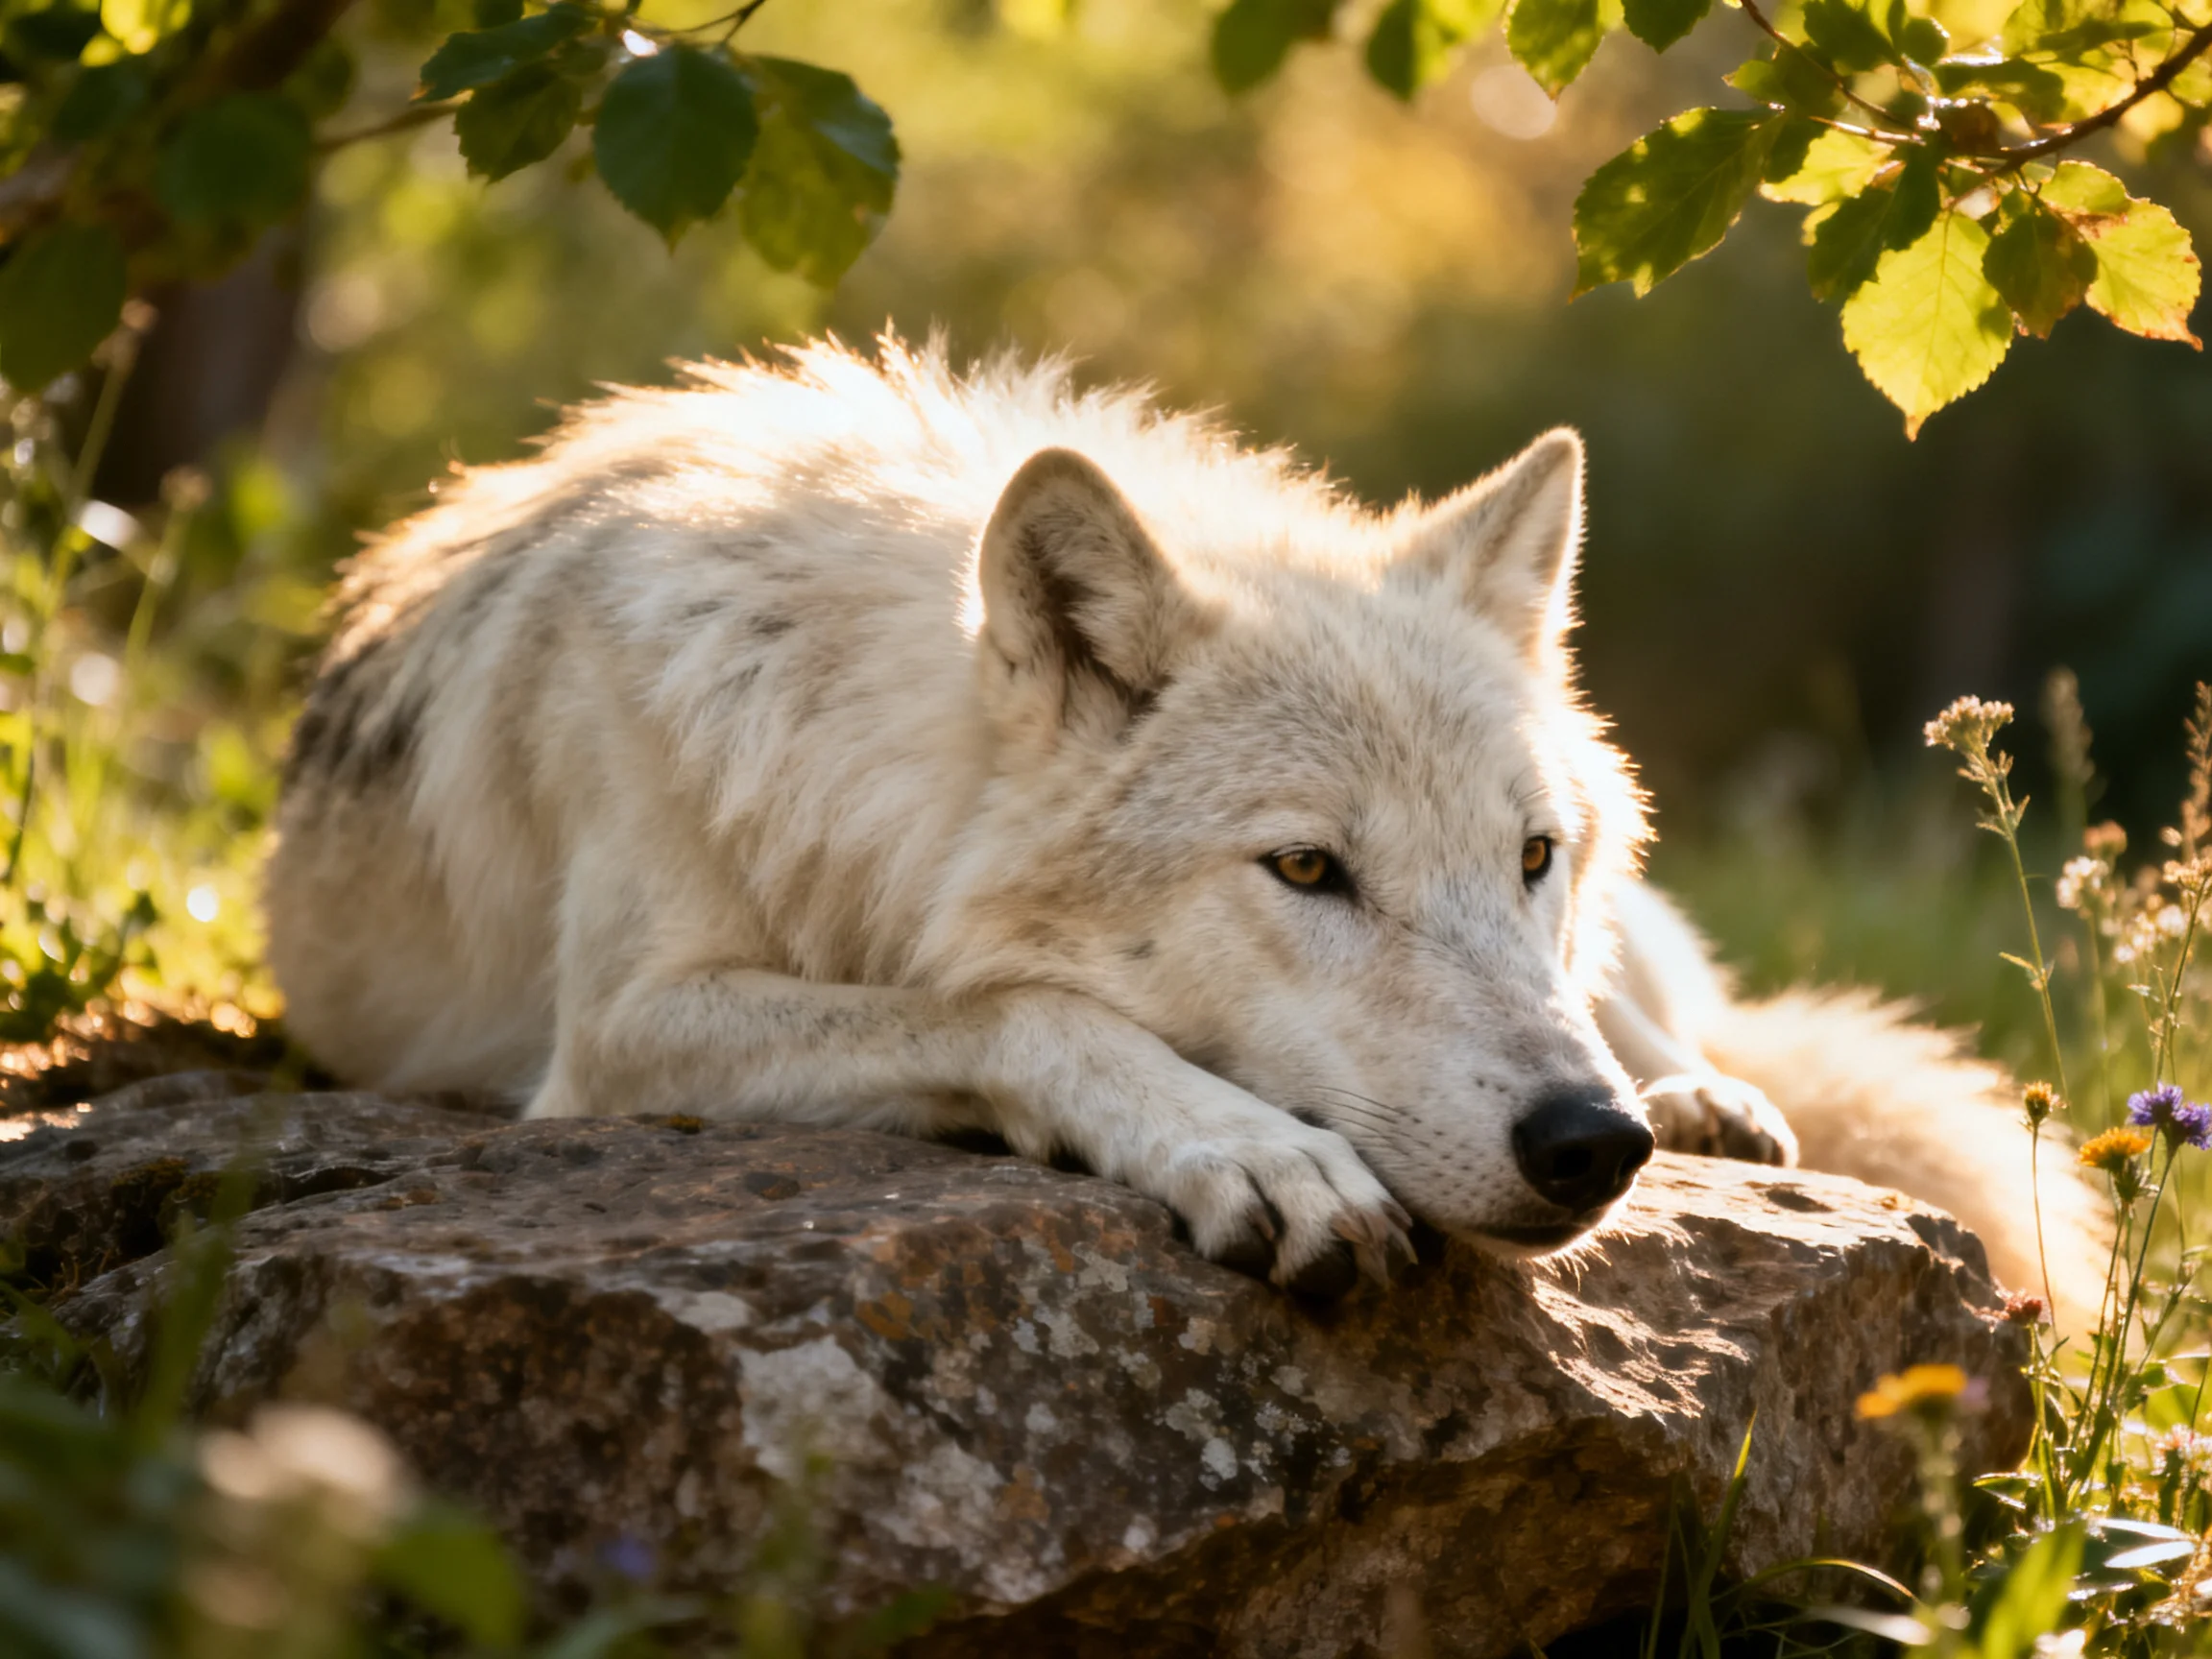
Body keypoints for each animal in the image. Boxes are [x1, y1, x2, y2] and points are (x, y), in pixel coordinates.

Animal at [266, 337, 2103, 1313]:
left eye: (1527, 857)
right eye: (1305, 869)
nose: (1590, 1145)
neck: (855, 724)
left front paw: (1673, 1097)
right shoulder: (621, 1035)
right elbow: (1016, 1005)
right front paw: (1253, 1152)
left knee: (1667, 1007)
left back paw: (1704, 1089)